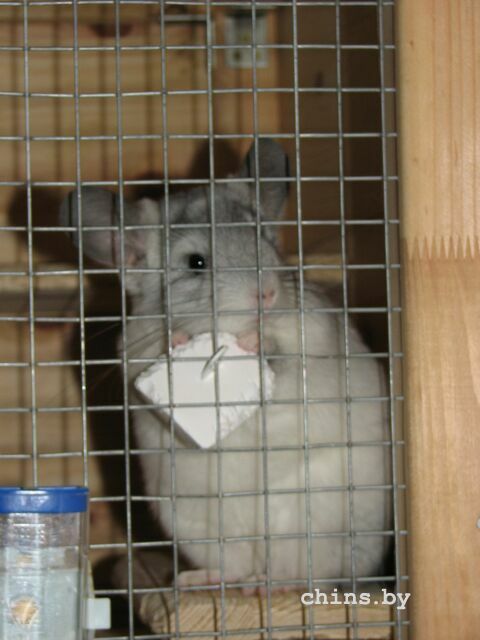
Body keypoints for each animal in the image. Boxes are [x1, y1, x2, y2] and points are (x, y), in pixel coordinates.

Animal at [60, 139, 391, 594]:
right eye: (196, 263)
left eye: (263, 239)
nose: (266, 294)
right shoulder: (132, 362)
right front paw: (180, 341)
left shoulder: (314, 333)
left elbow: (283, 356)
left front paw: (254, 341)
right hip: (197, 527)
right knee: (232, 564)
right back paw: (203, 580)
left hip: (319, 523)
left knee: (306, 571)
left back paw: (271, 585)